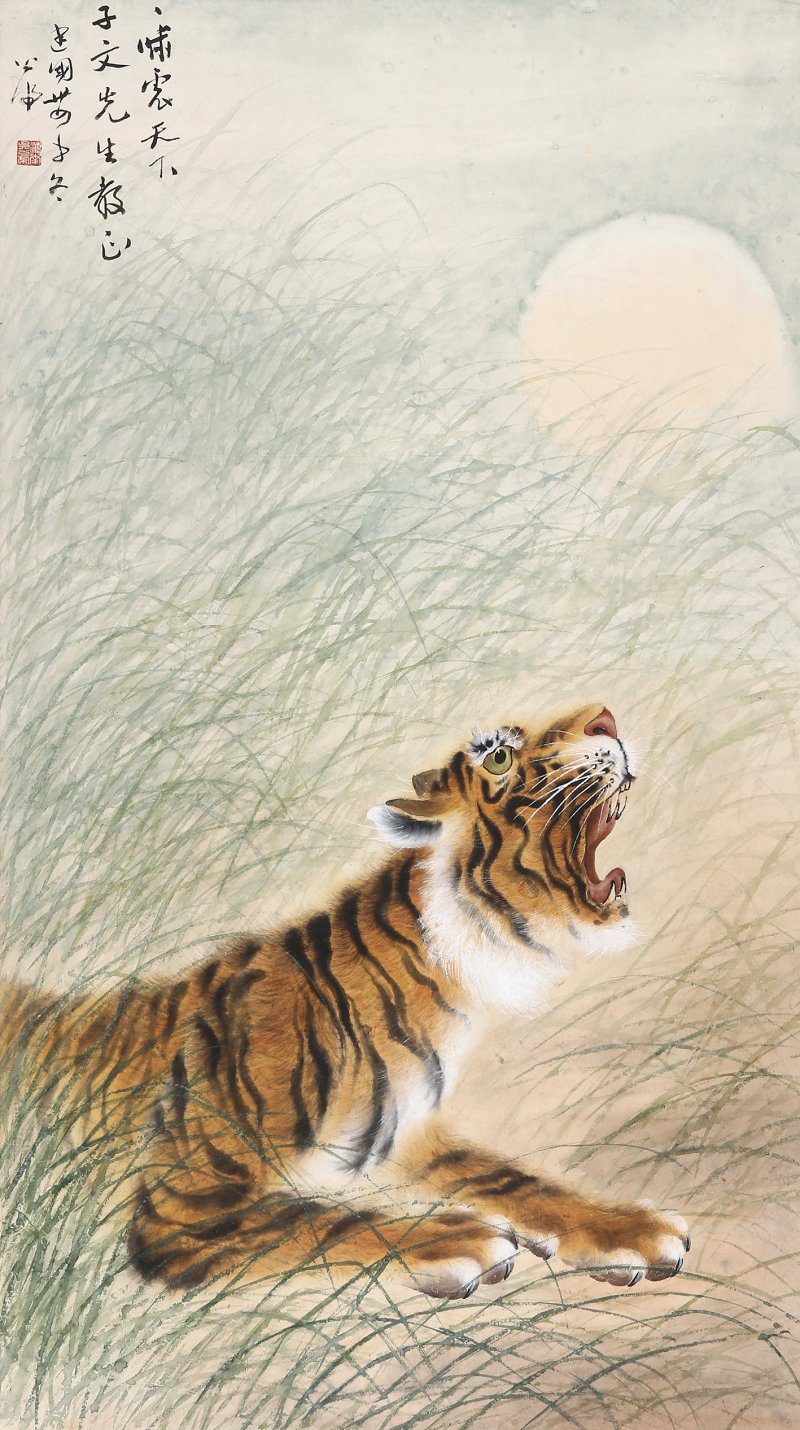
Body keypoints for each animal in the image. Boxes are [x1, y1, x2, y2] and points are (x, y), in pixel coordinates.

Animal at [2, 702, 690, 1299]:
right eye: (498, 756)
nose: (606, 718)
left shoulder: (404, 1132)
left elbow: (507, 1175)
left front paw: (631, 1229)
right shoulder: (182, 1209)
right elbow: (325, 1219)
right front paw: (458, 1240)